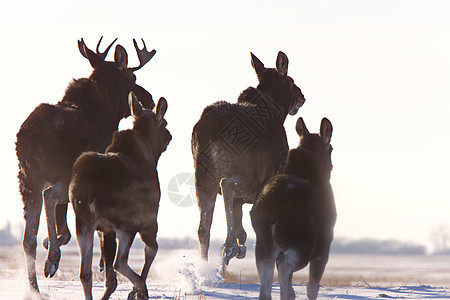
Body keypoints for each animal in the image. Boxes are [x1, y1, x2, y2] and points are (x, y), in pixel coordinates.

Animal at [15, 35, 156, 292]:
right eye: (133, 78)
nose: (149, 98)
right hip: (62, 173)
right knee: (50, 196)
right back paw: (52, 260)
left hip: (27, 180)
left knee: (28, 238)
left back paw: (35, 287)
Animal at [69, 92, 171, 298]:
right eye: (163, 123)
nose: (169, 136)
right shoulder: (149, 220)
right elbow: (152, 249)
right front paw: (136, 290)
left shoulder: (105, 230)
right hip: (126, 223)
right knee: (120, 262)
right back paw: (141, 289)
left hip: (84, 223)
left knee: (85, 273)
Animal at [190, 51, 306, 264]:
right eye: (291, 81)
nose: (302, 97)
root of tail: (211, 130)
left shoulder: (240, 200)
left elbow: (239, 223)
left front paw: (241, 246)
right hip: (250, 173)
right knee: (227, 185)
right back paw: (228, 246)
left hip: (202, 175)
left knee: (203, 227)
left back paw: (205, 265)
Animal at [251, 117, 336, 300]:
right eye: (331, 149)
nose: (331, 166)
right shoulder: (323, 248)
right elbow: (312, 287)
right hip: (303, 242)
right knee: (284, 266)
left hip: (264, 243)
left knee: (265, 288)